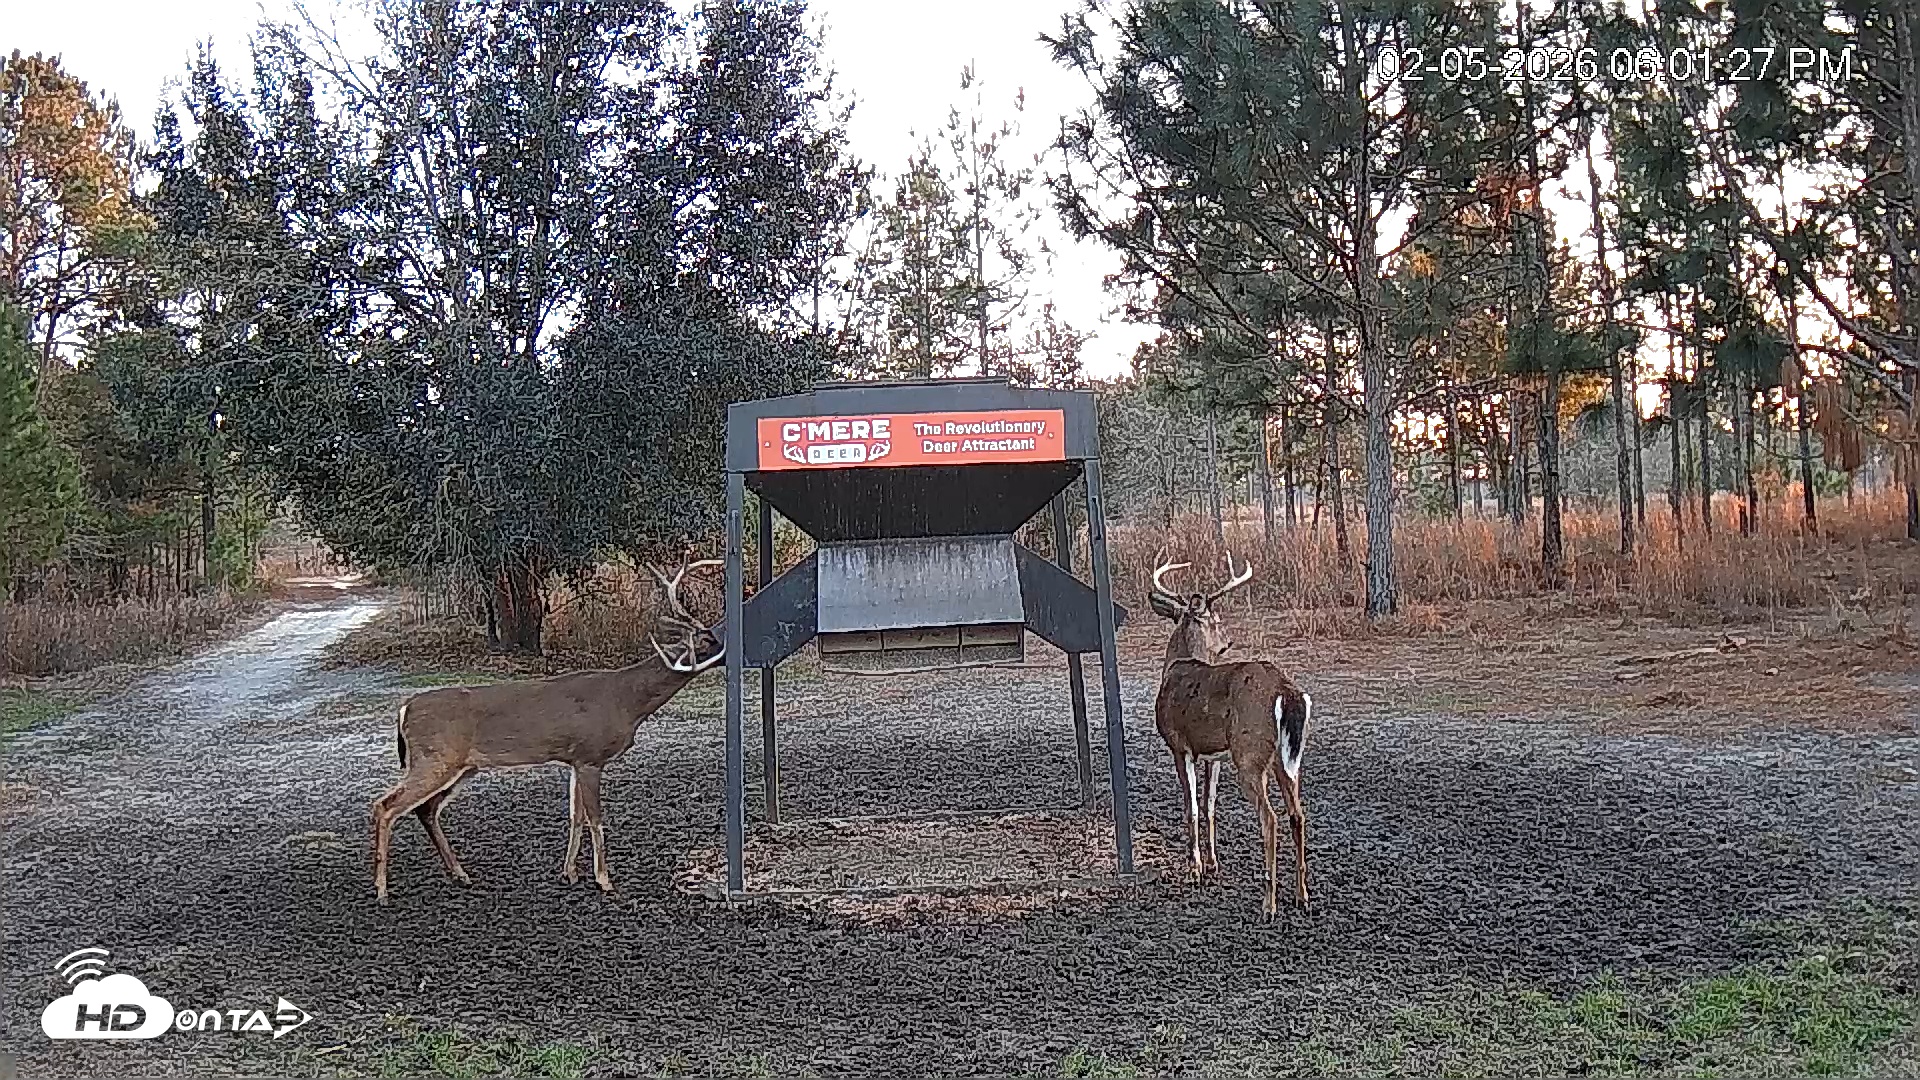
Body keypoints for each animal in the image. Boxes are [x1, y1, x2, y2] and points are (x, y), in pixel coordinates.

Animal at [370, 559, 724, 904]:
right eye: (708, 640)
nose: (726, 647)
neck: (626, 700)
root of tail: (405, 709)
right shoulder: (591, 756)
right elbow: (595, 818)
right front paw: (605, 881)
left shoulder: (576, 759)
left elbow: (575, 816)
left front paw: (570, 873)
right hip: (435, 757)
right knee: (386, 806)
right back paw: (382, 891)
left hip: (459, 766)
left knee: (426, 809)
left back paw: (461, 875)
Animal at [1149, 555, 1312, 917]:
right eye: (1218, 621)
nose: (1228, 641)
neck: (1177, 666)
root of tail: (1285, 690)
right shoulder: (1215, 754)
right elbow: (1209, 804)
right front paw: (1212, 864)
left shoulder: (1178, 744)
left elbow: (1192, 806)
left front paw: (1194, 870)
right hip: (1285, 759)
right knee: (1297, 815)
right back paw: (1302, 896)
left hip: (1249, 755)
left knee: (1270, 818)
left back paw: (1269, 904)